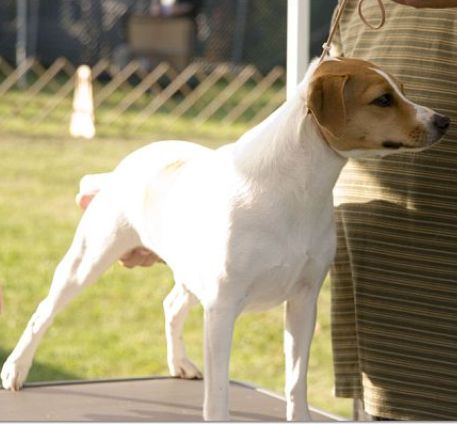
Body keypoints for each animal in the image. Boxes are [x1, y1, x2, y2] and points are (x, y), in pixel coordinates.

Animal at [0, 57, 448, 420]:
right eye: (382, 100)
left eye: (402, 90)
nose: (442, 120)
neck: (297, 190)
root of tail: (127, 163)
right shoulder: (222, 307)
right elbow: (218, 392)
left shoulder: (304, 302)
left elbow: (296, 381)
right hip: (87, 260)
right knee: (42, 313)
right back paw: (16, 370)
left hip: (188, 272)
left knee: (172, 305)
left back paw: (180, 363)